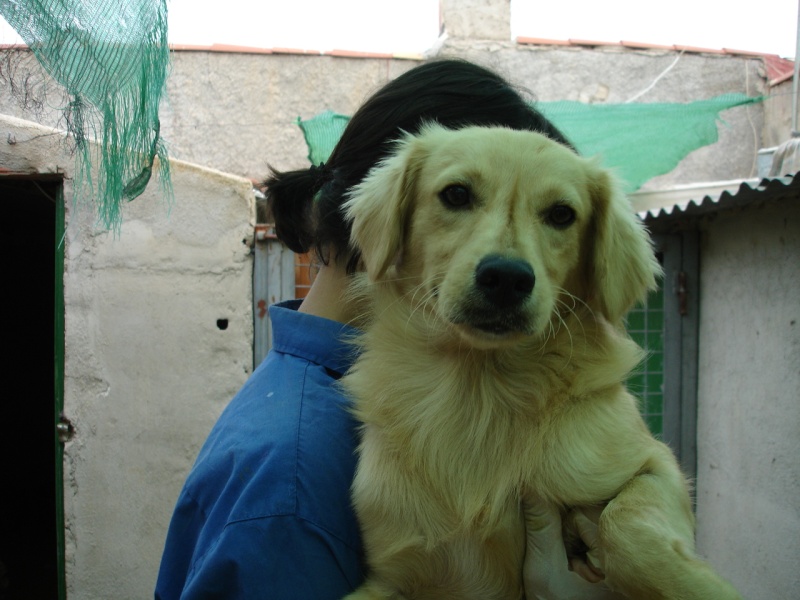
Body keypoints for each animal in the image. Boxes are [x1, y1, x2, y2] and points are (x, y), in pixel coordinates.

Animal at [340, 124, 740, 596]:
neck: (480, 389)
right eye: (456, 194)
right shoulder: (389, 575)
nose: (507, 278)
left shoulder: (656, 466)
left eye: (562, 214)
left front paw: (696, 587)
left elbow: (627, 526)